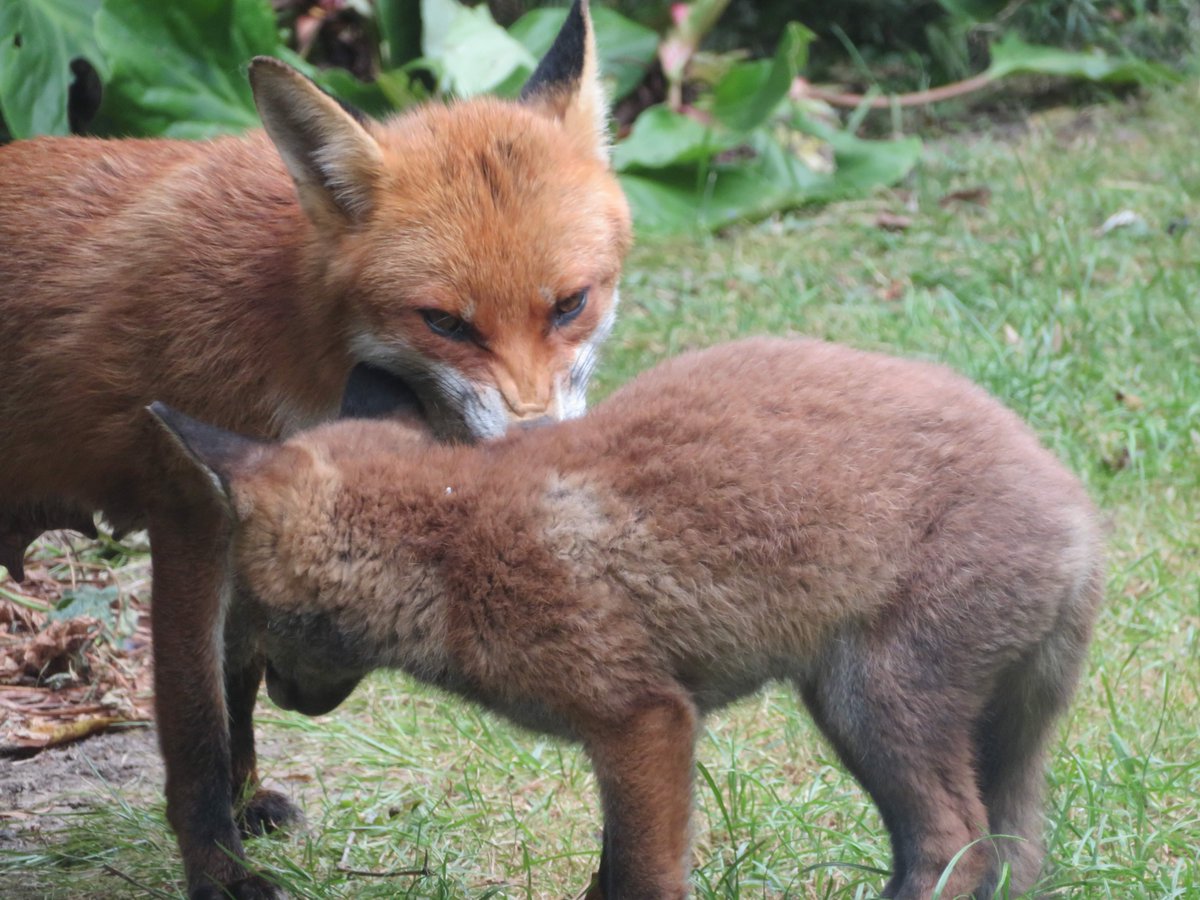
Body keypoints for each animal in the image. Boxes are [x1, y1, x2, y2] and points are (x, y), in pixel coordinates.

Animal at [0, 2, 629, 896]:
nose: (537, 446)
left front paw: (245, 801)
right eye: (445, 323)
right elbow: (196, 722)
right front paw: (218, 870)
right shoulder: (187, 516)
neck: (298, 332)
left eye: (571, 305)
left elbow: (238, 678)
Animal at [151, 336, 1104, 900]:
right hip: (978, 734)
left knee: (956, 845)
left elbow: (641, 880)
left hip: (871, 702)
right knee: (1014, 854)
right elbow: (608, 879)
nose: (276, 697)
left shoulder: (643, 721)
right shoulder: (636, 744)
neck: (451, 546)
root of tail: (1078, 513)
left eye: (257, 615)